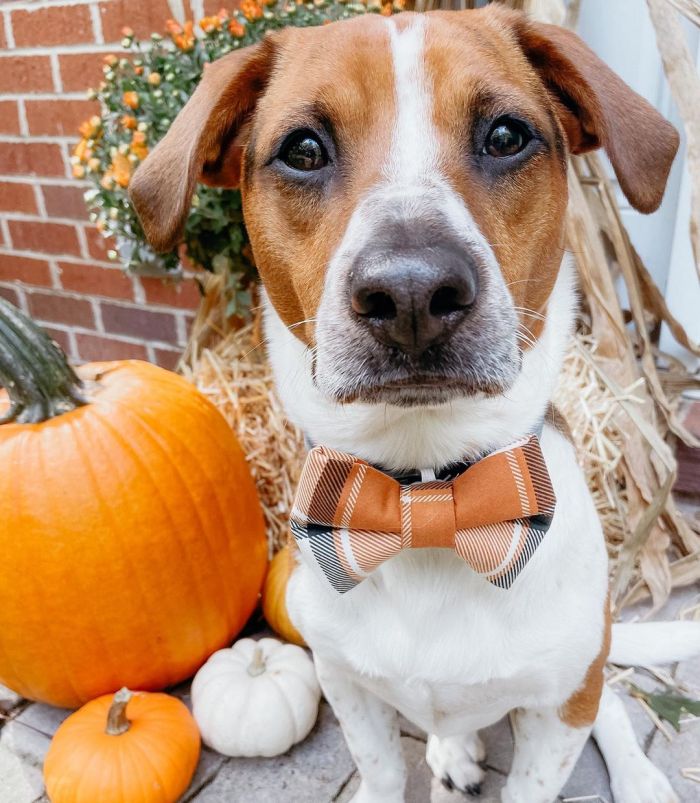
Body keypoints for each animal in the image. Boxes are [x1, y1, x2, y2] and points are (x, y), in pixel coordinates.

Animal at [131, 7, 700, 803]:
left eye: (506, 136)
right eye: (302, 149)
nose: (410, 295)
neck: (426, 498)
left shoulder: (561, 704)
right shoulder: (345, 683)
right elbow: (380, 766)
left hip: (590, 663)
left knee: (615, 706)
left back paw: (642, 777)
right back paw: (453, 749)